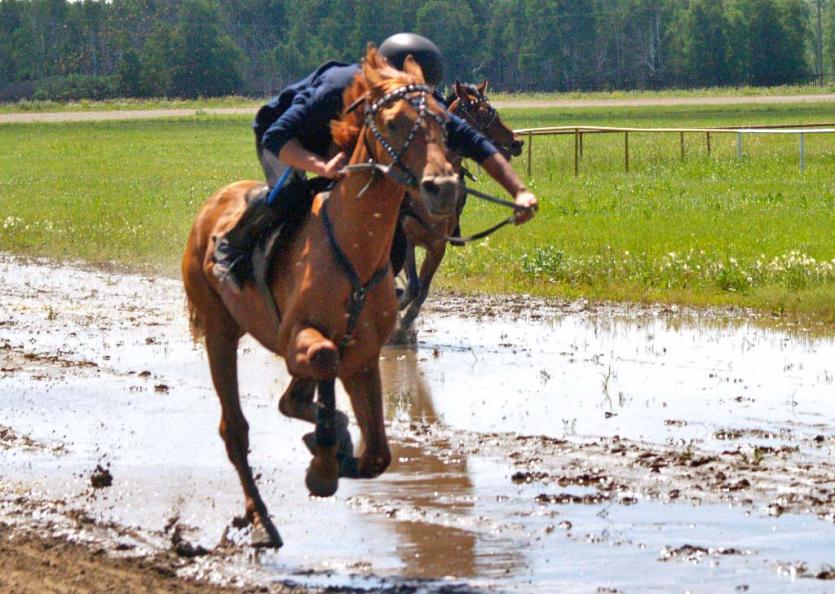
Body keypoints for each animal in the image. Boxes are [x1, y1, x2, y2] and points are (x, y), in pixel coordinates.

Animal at [180, 47, 460, 552]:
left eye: (444, 122)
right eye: (393, 122)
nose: (443, 187)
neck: (353, 246)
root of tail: (215, 202)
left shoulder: (364, 355)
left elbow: (377, 455)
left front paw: (336, 450)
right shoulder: (296, 337)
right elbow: (324, 359)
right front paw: (326, 458)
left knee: (290, 402)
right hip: (219, 328)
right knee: (235, 429)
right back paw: (260, 519)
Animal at [394, 79, 524, 336]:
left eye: (494, 111)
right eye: (482, 114)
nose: (517, 142)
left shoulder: (438, 246)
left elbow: (421, 291)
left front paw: (405, 325)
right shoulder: (407, 238)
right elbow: (412, 286)